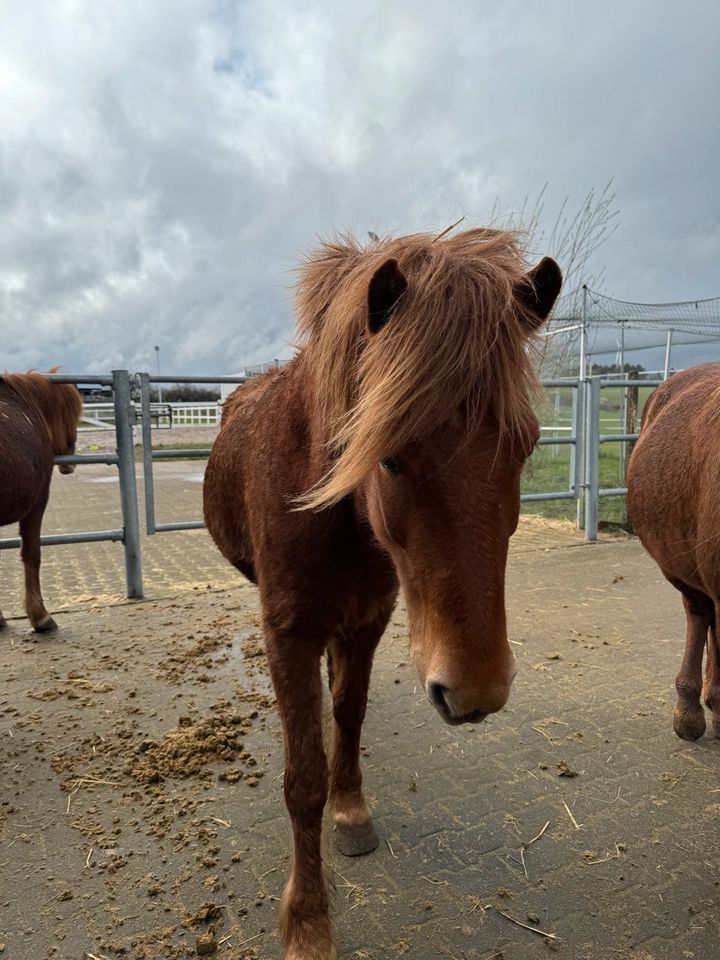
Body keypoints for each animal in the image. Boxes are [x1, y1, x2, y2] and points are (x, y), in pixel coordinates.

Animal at [202, 227, 564, 960]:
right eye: (389, 454)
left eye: (526, 447)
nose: (478, 692)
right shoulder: (289, 632)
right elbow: (302, 778)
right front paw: (309, 923)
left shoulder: (368, 619)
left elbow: (348, 715)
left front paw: (351, 809)